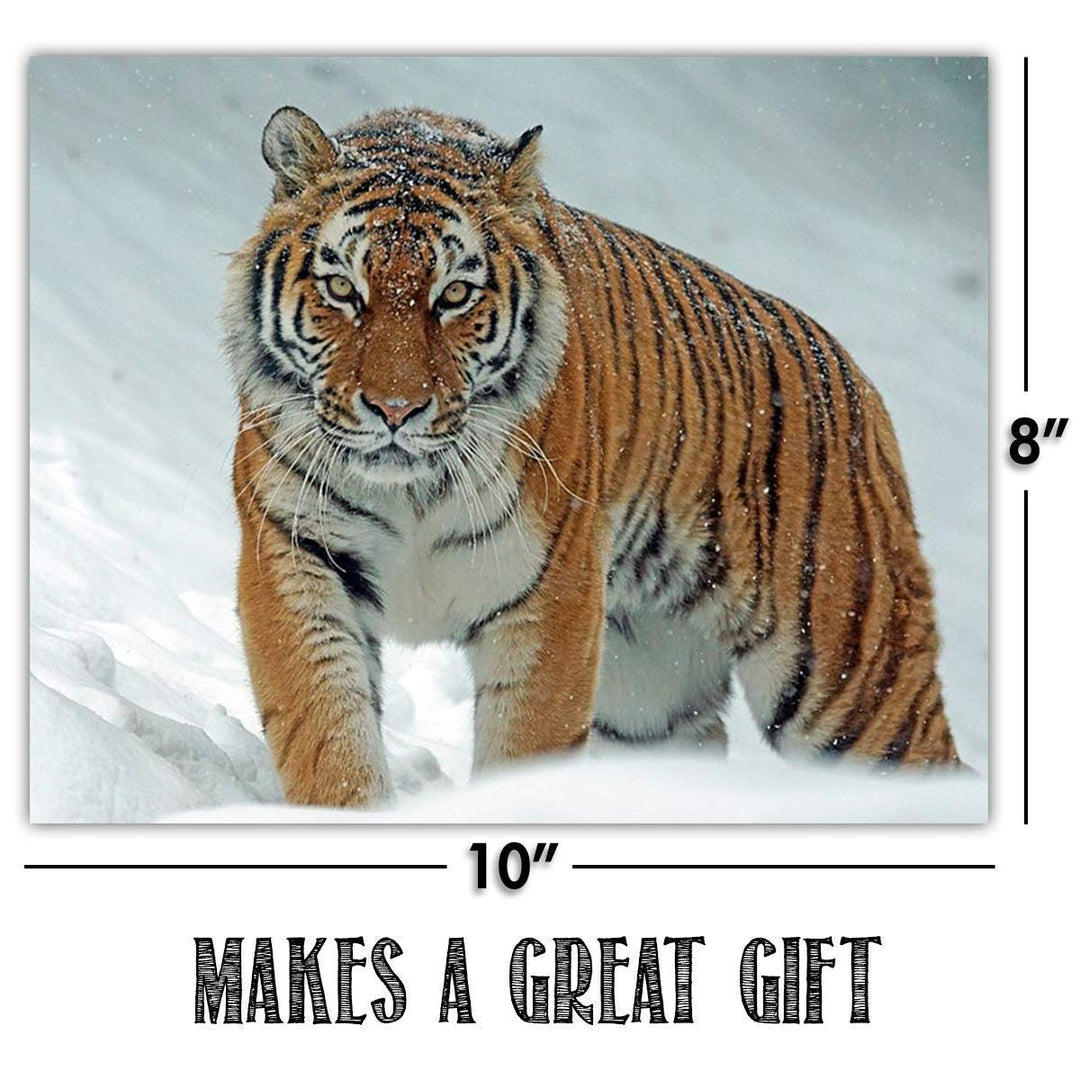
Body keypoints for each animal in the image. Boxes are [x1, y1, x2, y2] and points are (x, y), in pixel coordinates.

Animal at [224, 104, 962, 807]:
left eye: (454, 295)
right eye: (342, 289)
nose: (396, 410)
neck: (411, 490)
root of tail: (857, 381)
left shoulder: (552, 596)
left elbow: (523, 749)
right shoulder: (295, 555)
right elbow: (327, 733)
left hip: (853, 677)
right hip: (650, 697)